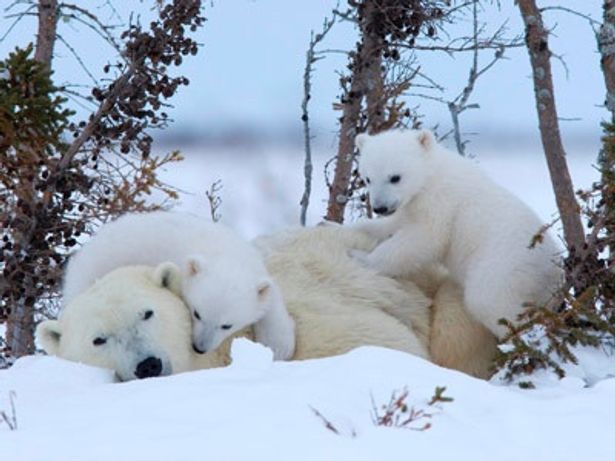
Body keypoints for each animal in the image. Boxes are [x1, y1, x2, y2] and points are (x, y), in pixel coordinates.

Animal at [63, 211, 294, 360]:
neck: (222, 253)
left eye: (227, 325)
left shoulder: (255, 264)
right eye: (197, 313)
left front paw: (280, 346)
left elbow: (270, 301)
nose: (200, 348)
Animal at [352, 127, 564, 336]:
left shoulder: (439, 202)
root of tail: (553, 269)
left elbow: (423, 239)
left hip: (503, 264)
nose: (380, 207)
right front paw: (358, 227)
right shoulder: (411, 205)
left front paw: (362, 258)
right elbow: (395, 223)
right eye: (368, 178)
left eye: (395, 177)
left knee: (488, 299)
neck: (431, 176)